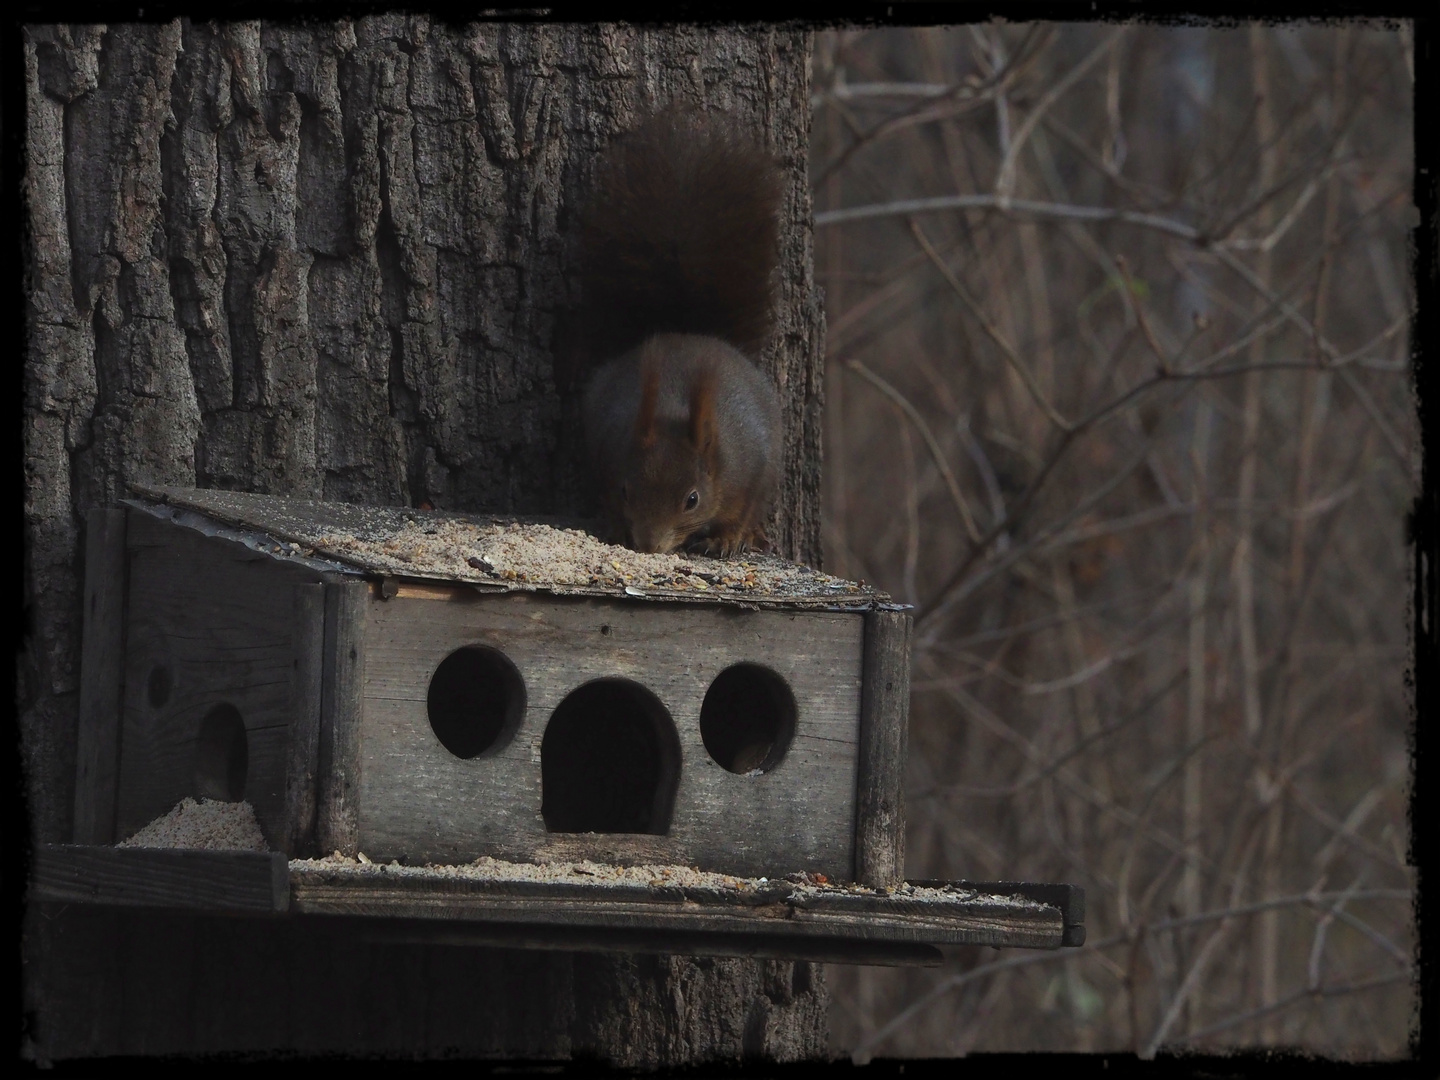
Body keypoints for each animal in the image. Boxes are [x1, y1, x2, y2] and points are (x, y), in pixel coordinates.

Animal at [573, 110, 783, 558]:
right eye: (626, 490)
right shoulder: (605, 456)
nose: (649, 545)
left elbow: (741, 510)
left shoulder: (750, 470)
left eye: (692, 500)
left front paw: (727, 538)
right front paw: (614, 526)